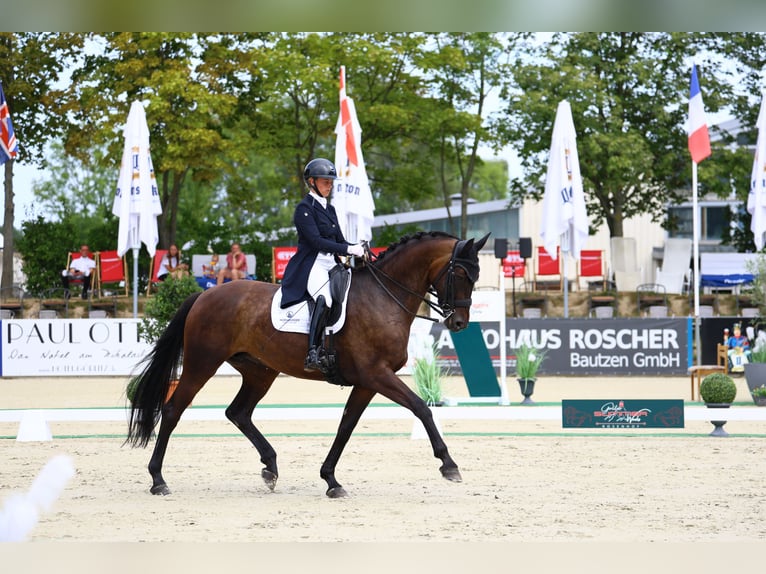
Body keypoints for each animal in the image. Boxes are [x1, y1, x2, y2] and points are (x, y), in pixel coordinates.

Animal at [124, 232, 488, 498]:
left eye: (476, 275)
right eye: (460, 273)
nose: (459, 323)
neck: (384, 297)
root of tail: (204, 295)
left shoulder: (367, 381)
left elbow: (346, 426)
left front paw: (331, 480)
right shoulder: (376, 374)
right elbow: (421, 408)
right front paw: (449, 465)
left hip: (260, 371)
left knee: (238, 412)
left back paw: (270, 468)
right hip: (202, 363)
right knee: (173, 410)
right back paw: (158, 480)